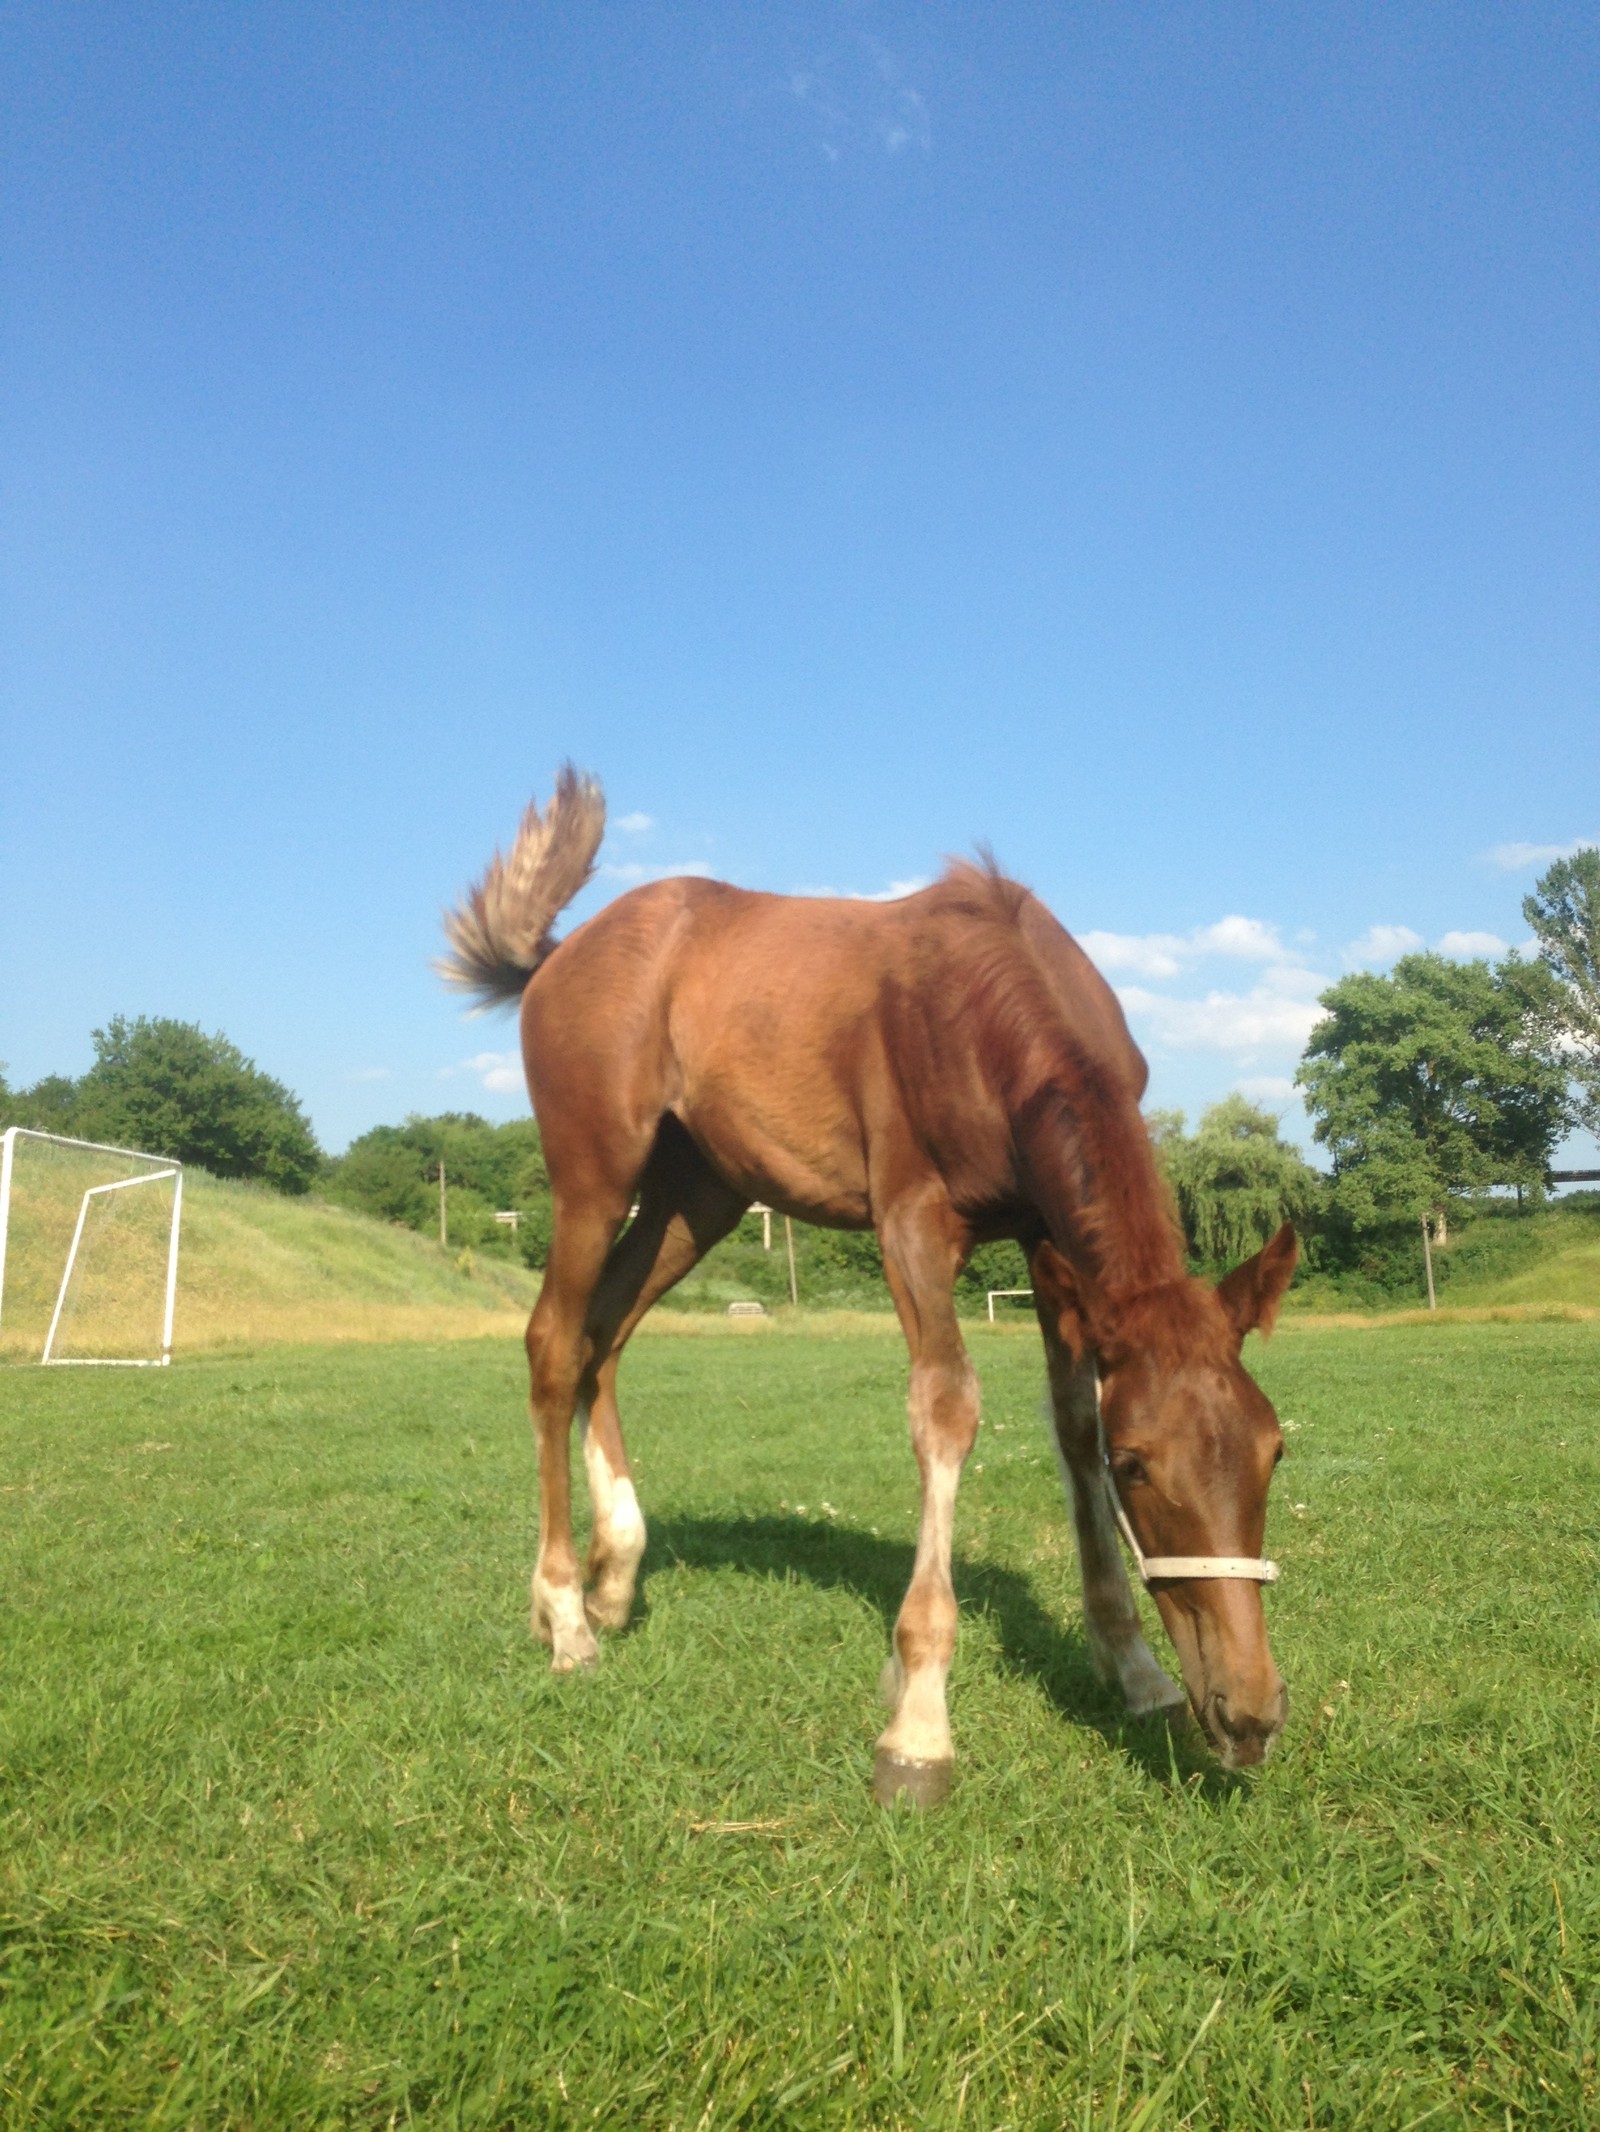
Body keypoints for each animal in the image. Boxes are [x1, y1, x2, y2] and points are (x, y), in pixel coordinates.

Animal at [441, 767, 1305, 1799]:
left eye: (1275, 1451)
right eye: (1139, 1466)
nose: (1250, 1716)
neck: (983, 1006)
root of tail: (560, 954)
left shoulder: (1045, 1238)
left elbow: (1070, 1423)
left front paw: (1134, 1670)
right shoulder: (912, 1221)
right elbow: (947, 1408)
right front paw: (919, 1719)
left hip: (698, 1193)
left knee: (604, 1334)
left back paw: (617, 1577)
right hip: (595, 1174)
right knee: (554, 1342)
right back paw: (567, 1618)